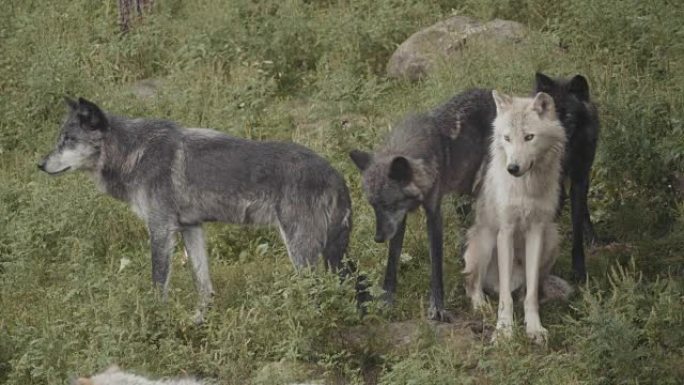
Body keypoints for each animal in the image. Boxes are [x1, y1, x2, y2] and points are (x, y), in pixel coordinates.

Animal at [40, 96, 356, 320]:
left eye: (68, 140)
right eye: (59, 139)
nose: (40, 164)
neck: (134, 152)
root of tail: (336, 174)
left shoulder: (161, 230)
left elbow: (158, 283)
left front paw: (157, 322)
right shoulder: (191, 228)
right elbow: (203, 283)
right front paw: (199, 320)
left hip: (301, 252)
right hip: (333, 254)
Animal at [350, 88, 494, 320]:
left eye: (389, 204)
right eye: (374, 206)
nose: (378, 238)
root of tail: (488, 91)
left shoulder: (433, 214)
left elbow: (436, 267)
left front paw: (438, 308)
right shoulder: (399, 222)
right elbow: (392, 262)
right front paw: (387, 301)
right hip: (461, 198)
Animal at [460, 91, 572, 344]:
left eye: (529, 137)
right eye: (507, 138)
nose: (512, 168)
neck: (526, 188)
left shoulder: (537, 231)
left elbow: (531, 295)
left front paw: (534, 329)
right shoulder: (506, 232)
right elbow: (504, 299)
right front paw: (504, 330)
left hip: (552, 238)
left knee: (526, 288)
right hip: (485, 241)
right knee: (473, 285)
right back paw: (482, 307)